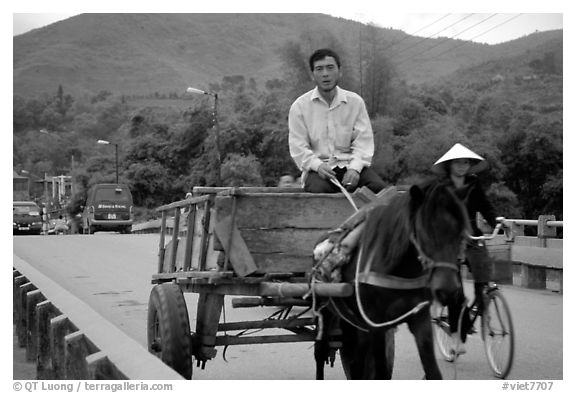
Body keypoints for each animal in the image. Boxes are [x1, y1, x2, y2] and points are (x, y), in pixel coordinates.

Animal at [316, 180, 472, 376]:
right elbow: (381, 372)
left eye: (460, 233)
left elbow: (433, 372)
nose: (448, 290)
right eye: (424, 230)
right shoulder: (376, 324)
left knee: (356, 362)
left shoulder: (420, 318)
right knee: (320, 353)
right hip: (326, 310)